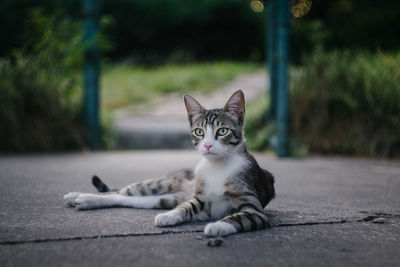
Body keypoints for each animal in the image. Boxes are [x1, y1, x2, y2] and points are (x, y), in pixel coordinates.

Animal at [63, 91, 276, 238]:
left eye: (222, 131)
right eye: (199, 132)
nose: (207, 145)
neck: (217, 166)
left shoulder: (254, 209)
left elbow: (238, 217)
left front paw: (218, 226)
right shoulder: (199, 200)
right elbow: (186, 207)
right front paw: (170, 216)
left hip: (163, 198)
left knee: (124, 198)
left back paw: (83, 200)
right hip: (160, 184)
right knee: (123, 191)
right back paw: (78, 196)